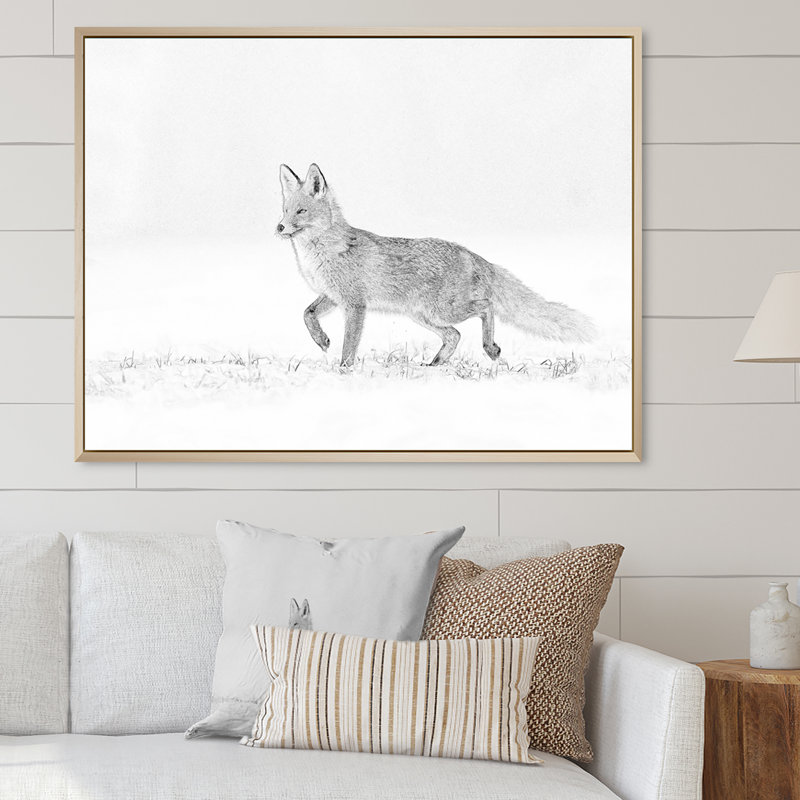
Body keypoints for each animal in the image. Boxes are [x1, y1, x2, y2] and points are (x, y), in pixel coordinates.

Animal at [276, 163, 595, 368]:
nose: (279, 227)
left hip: (441, 310)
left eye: (301, 211)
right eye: (285, 210)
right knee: (455, 335)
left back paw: (490, 348)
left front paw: (344, 371)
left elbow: (349, 345)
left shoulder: (355, 304)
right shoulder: (332, 296)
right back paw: (436, 363)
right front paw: (321, 340)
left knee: (486, 306)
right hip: (424, 315)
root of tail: (474, 255)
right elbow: (307, 314)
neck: (322, 253)